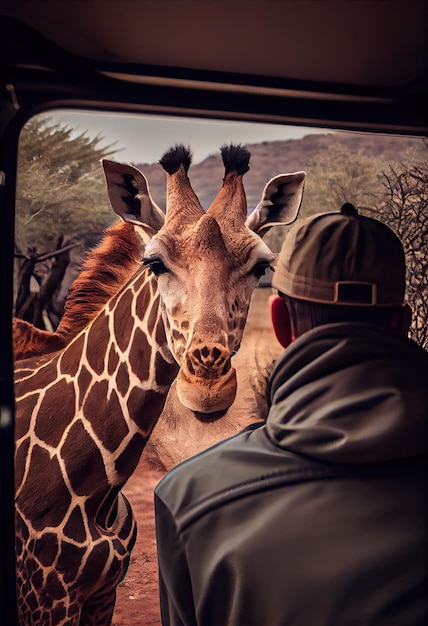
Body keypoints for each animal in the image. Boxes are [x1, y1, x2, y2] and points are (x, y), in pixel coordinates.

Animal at [15, 144, 304, 620]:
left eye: (261, 267)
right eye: (154, 263)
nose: (206, 384)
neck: (96, 492)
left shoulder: (101, 597)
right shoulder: (42, 601)